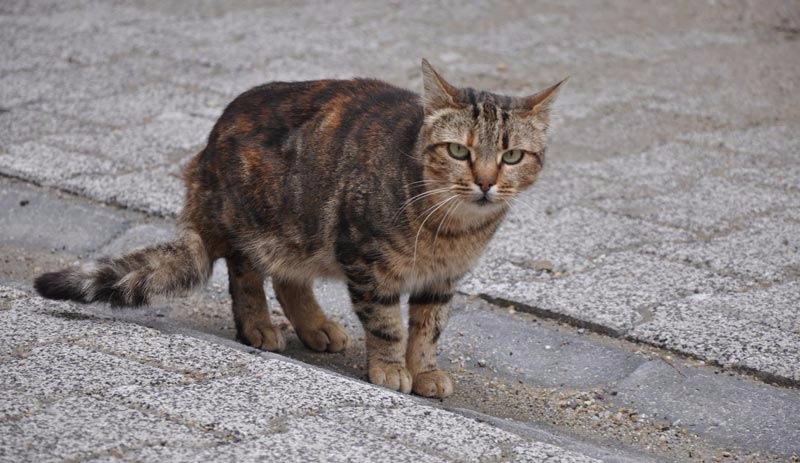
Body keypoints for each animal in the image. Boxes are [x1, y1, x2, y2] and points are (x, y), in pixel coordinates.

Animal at [34, 60, 564, 398]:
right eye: (458, 150)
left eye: (512, 156)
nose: (486, 181)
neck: (451, 230)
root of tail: (205, 151)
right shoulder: (366, 259)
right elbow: (388, 324)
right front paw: (391, 368)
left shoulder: (440, 281)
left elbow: (428, 329)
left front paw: (424, 370)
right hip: (256, 221)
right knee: (246, 273)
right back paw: (260, 327)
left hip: (300, 233)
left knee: (290, 279)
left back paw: (316, 327)